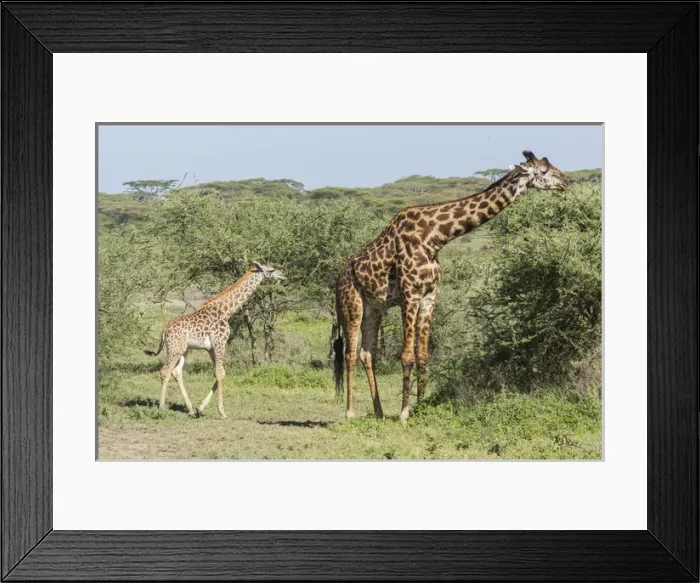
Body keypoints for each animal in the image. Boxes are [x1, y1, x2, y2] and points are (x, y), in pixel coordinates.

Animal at [144, 262, 286, 419]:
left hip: (183, 350)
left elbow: (221, 372)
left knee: (176, 371)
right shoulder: (220, 343)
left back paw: (190, 410)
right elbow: (219, 373)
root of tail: (164, 330)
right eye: (271, 270)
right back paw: (161, 408)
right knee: (165, 371)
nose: (283, 276)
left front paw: (200, 408)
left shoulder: (211, 348)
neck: (227, 311)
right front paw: (222, 412)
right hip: (175, 349)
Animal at [333, 150, 569, 423]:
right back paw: (350, 412)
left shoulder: (429, 296)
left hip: (374, 308)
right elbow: (407, 356)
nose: (566, 181)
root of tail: (338, 276)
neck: (435, 238)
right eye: (543, 171)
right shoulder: (410, 296)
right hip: (351, 303)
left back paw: (379, 412)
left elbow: (423, 355)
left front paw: (420, 407)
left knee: (367, 353)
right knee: (350, 353)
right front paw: (404, 413)